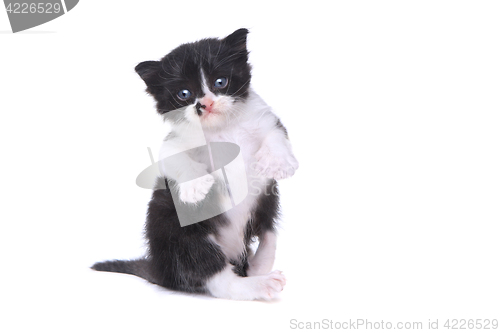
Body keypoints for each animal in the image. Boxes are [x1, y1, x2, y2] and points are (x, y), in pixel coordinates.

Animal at [91, 27, 296, 300]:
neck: (222, 129)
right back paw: (258, 284)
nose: (204, 104)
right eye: (184, 94)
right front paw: (197, 187)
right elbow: (172, 156)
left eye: (220, 82)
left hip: (267, 201)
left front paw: (279, 162)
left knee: (268, 231)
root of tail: (159, 270)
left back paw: (258, 268)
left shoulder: (264, 119)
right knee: (213, 275)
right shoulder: (175, 141)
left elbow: (275, 132)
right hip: (171, 226)